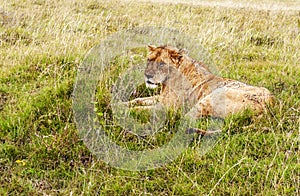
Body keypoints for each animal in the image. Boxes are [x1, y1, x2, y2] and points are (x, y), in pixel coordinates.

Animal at [124, 45, 274, 134]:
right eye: (149, 60)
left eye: (161, 63)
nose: (147, 75)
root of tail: (270, 107)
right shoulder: (161, 98)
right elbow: (137, 101)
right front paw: (122, 104)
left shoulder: (167, 106)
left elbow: (141, 109)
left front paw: (122, 111)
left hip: (213, 95)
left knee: (184, 118)